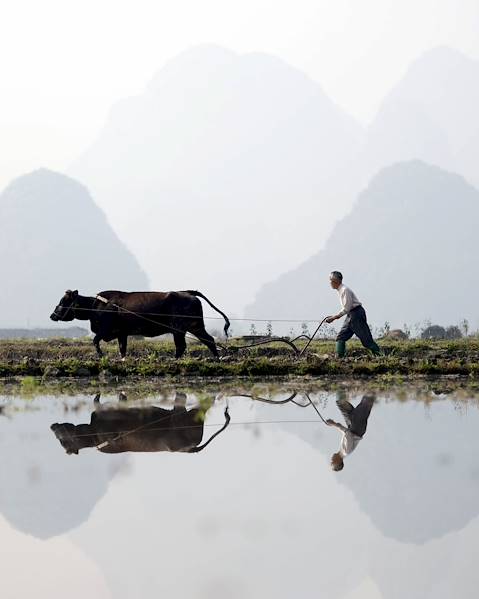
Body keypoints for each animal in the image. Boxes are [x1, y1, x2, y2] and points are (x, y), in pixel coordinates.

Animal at [49, 290, 230, 358]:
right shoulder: (122, 333)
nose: (52, 315)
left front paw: (101, 355)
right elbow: (122, 349)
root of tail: (186, 292)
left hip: (179, 329)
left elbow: (94, 340)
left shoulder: (105, 329)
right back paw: (216, 358)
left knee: (182, 346)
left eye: (63, 301)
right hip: (195, 327)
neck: (95, 306)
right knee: (209, 340)